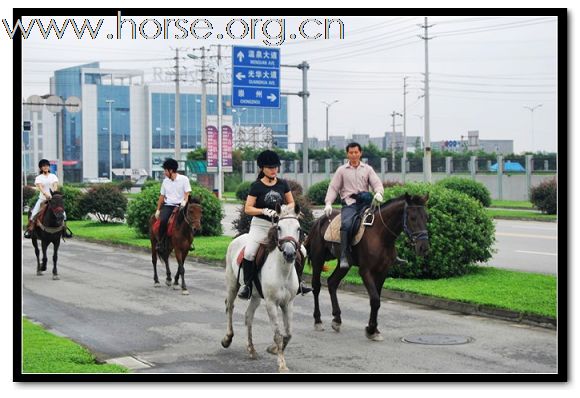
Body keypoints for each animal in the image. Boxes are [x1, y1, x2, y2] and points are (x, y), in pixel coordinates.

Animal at [221, 205, 302, 374]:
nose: (290, 254)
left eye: (298, 228)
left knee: (248, 316)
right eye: (279, 227)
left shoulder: (288, 303)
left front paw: (273, 349)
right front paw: (282, 364)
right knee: (230, 306)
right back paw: (227, 339)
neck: (282, 270)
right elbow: (278, 335)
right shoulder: (271, 303)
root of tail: (236, 239)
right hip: (232, 284)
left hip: (256, 296)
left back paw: (251, 349)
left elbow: (288, 334)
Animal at [306, 193, 428, 338]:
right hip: (318, 259)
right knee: (316, 287)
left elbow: (377, 299)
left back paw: (337, 319)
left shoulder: (382, 272)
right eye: (413, 218)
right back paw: (318, 320)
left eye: (427, 217)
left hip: (344, 264)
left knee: (332, 283)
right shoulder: (365, 271)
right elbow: (375, 300)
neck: (380, 235)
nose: (424, 248)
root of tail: (319, 220)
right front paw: (371, 329)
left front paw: (374, 329)